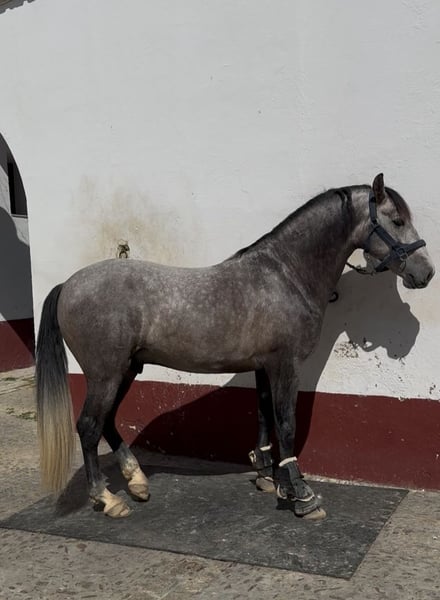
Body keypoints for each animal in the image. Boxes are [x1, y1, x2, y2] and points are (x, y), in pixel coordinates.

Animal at [36, 173, 434, 521]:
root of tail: (68, 284)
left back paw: (136, 482)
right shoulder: (285, 365)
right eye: (397, 220)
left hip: (126, 369)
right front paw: (303, 497)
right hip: (106, 374)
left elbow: (263, 415)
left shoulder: (263, 366)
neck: (286, 275)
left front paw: (271, 479)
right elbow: (286, 422)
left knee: (106, 421)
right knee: (89, 426)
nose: (425, 273)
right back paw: (107, 498)